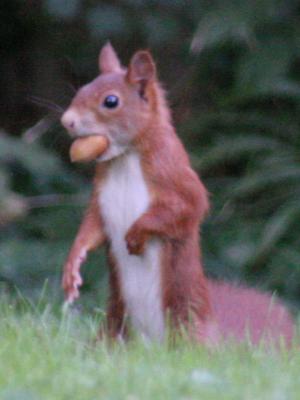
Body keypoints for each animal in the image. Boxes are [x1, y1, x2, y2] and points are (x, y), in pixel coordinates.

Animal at [59, 43, 294, 344]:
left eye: (111, 101)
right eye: (81, 89)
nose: (67, 121)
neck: (124, 157)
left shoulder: (173, 172)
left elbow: (187, 208)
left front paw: (136, 233)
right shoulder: (100, 193)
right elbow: (92, 226)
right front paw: (73, 265)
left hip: (186, 318)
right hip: (114, 324)